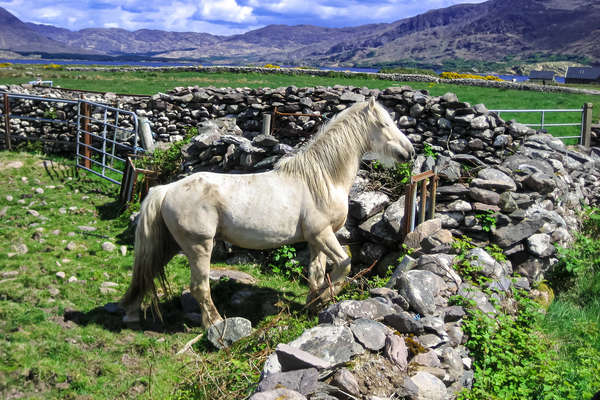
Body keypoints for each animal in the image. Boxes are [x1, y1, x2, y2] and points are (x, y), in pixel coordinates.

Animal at [119, 97, 414, 328]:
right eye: (384, 124)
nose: (409, 152)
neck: (322, 179)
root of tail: (166, 190)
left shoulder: (317, 239)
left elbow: (317, 273)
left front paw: (313, 304)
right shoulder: (323, 234)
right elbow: (344, 264)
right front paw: (325, 298)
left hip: (170, 244)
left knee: (147, 273)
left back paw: (133, 313)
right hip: (199, 246)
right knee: (199, 287)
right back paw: (216, 324)